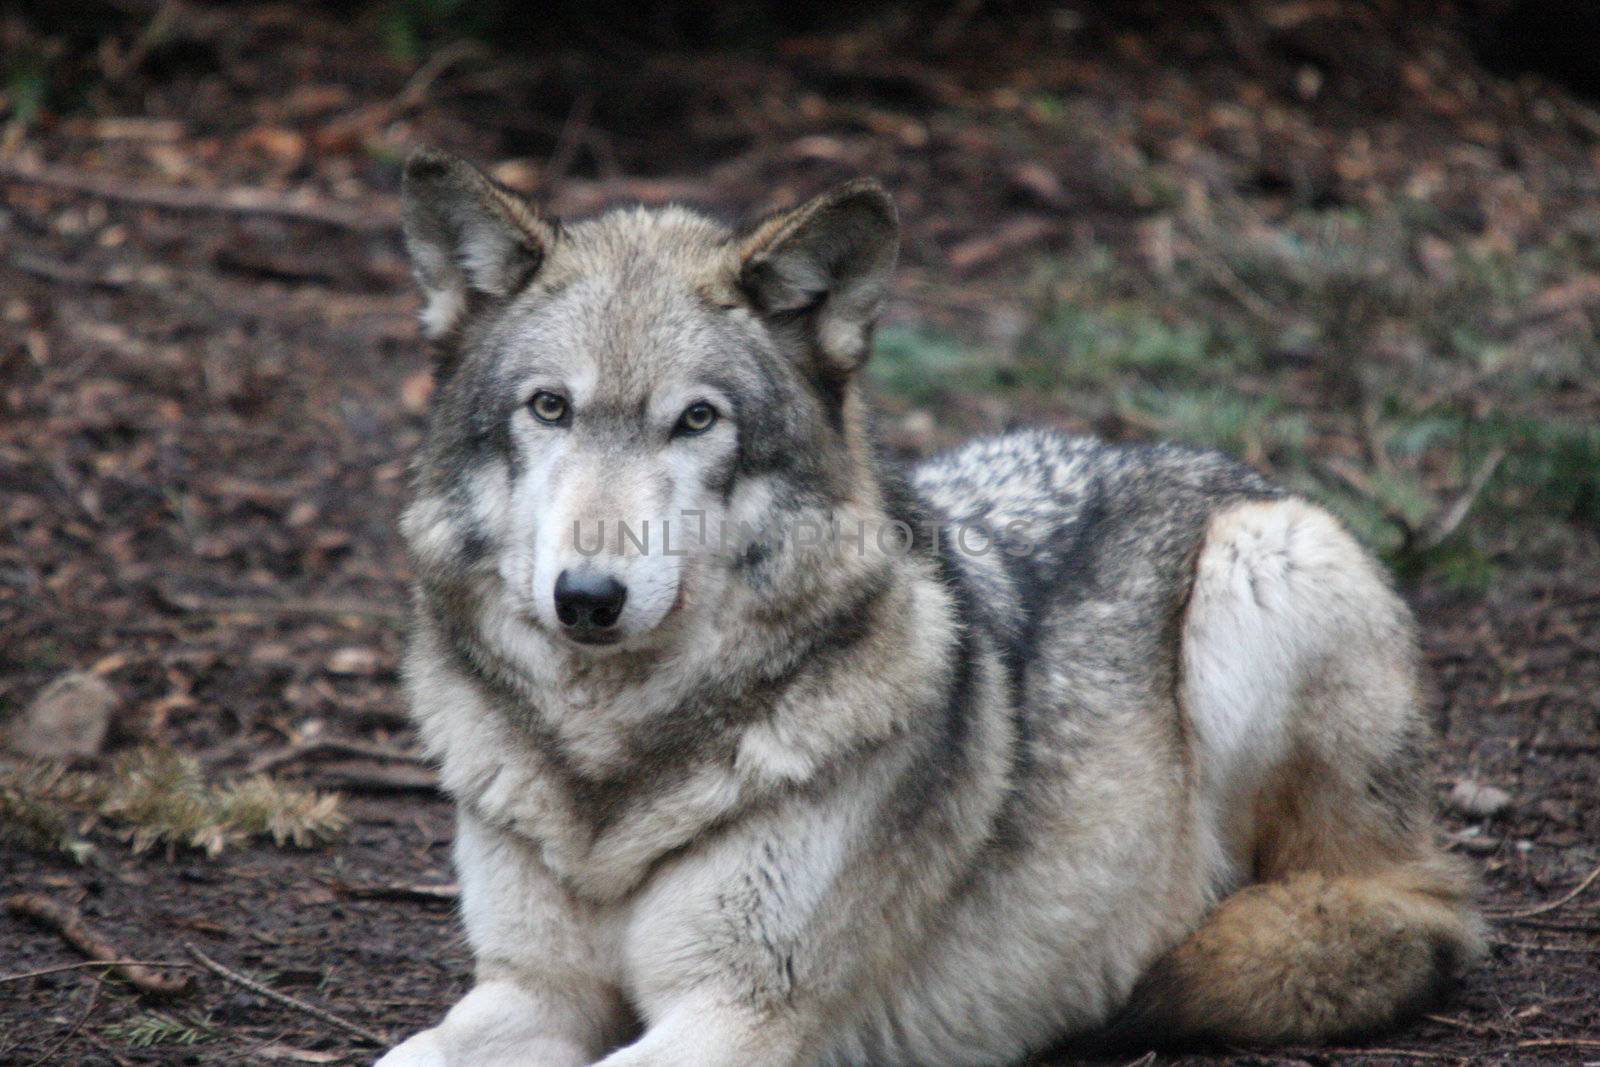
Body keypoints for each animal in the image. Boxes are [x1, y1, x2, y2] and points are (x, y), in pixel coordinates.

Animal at [377, 147, 1484, 1067]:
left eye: (696, 420)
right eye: (548, 407)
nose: (588, 597)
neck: (609, 781)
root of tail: (1219, 461)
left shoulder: (737, 1011)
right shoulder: (535, 990)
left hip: (1260, 569)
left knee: (1370, 917)